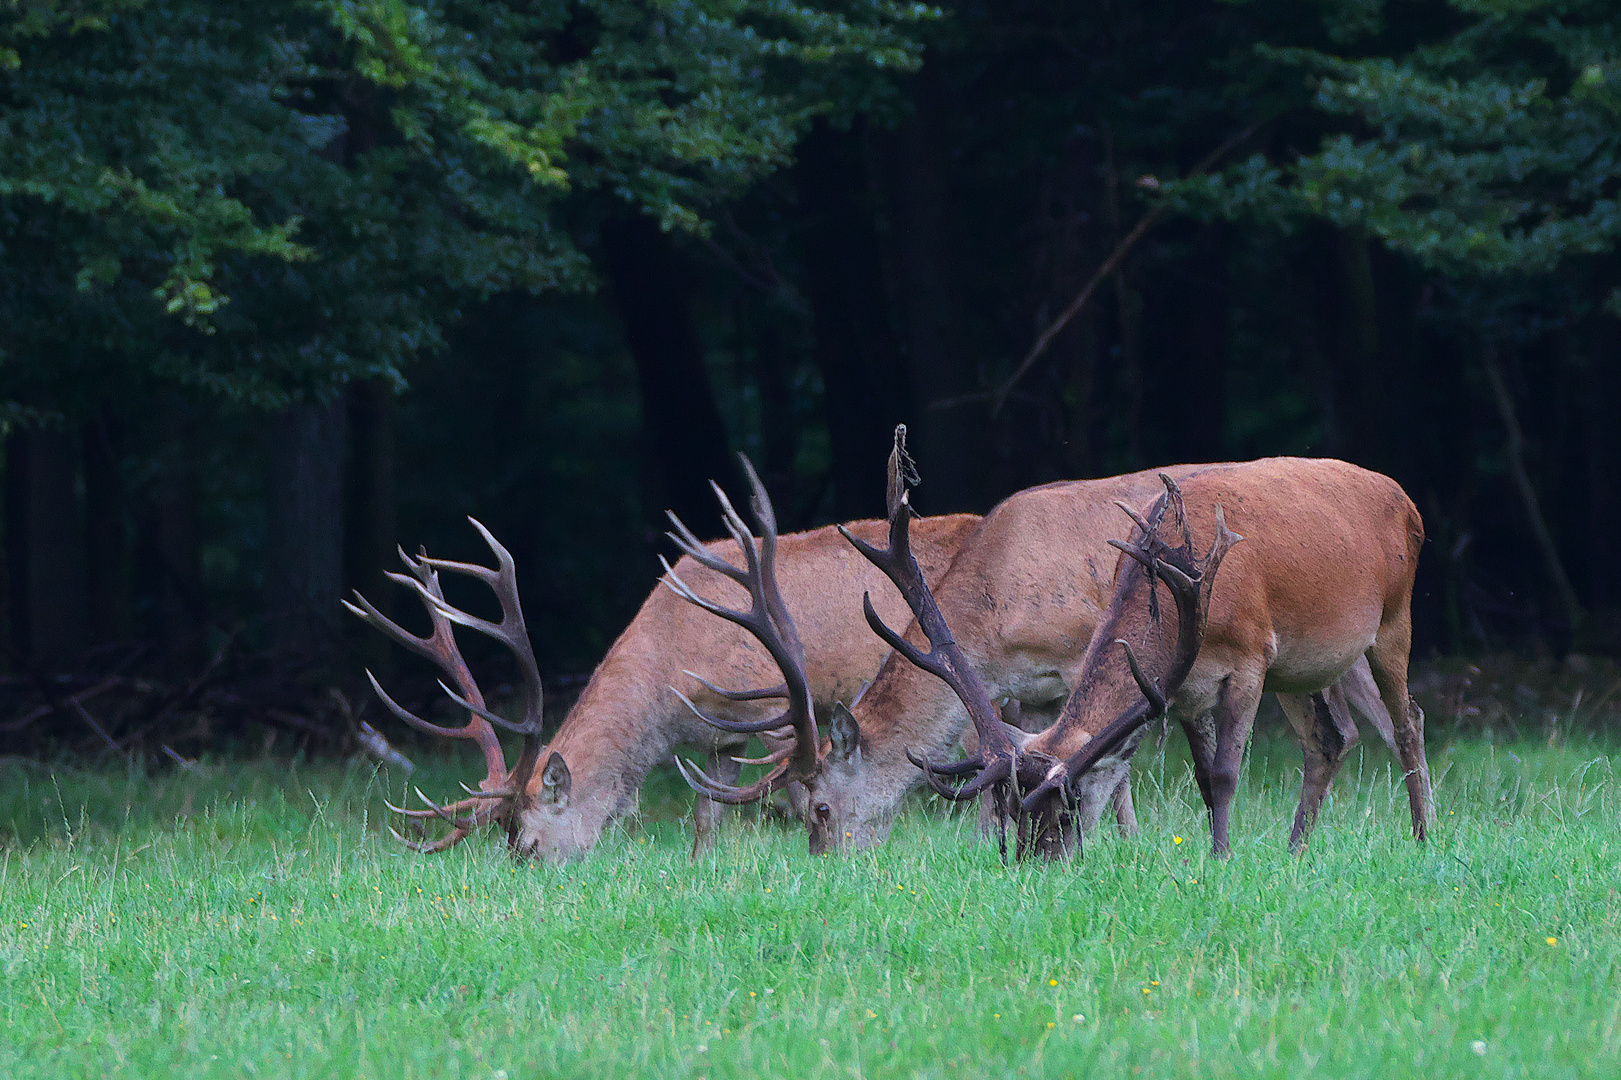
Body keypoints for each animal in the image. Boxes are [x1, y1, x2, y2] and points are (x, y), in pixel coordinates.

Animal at [342, 499, 972, 856]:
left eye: (529, 844)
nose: (523, 874)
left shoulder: (775, 713)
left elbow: (799, 800)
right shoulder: (720, 739)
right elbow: (706, 821)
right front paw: (705, 870)